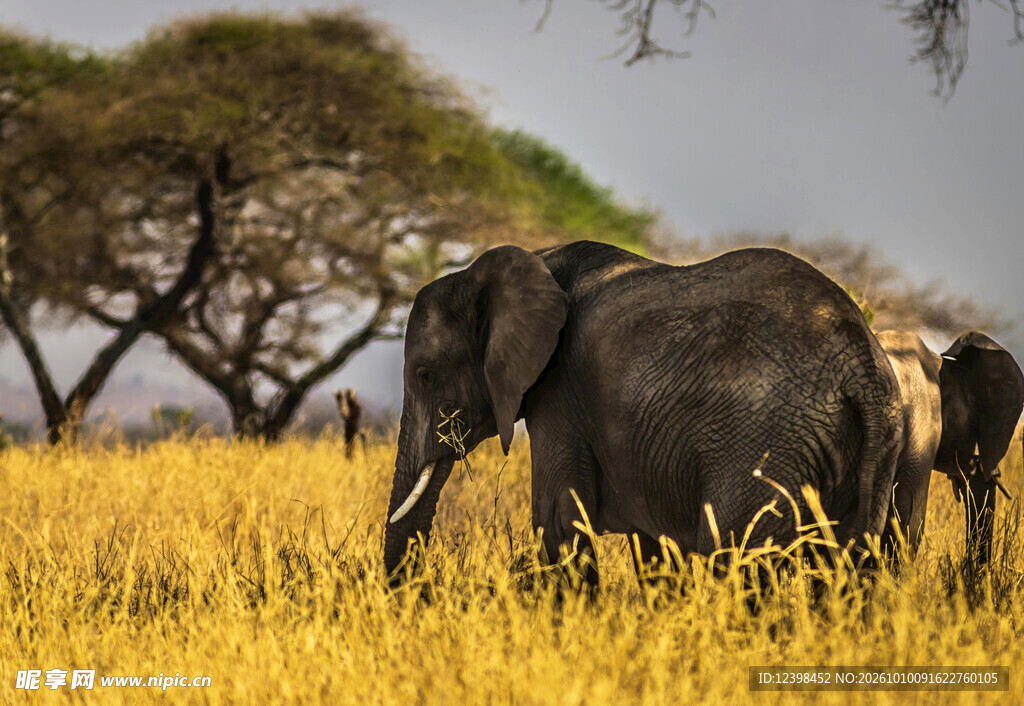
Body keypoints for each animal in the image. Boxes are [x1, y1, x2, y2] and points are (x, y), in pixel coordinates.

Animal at [383, 240, 903, 589]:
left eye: (425, 375)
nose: (416, 594)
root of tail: (860, 363)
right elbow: (653, 545)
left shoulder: (560, 390)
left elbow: (557, 519)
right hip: (872, 452)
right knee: (850, 566)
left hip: (768, 442)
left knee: (734, 559)